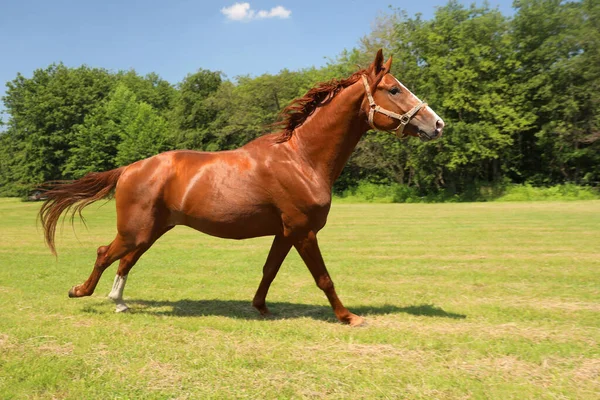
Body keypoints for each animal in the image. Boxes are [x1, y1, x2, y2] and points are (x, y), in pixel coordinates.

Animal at [37, 49, 440, 324]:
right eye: (393, 89)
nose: (437, 124)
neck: (301, 159)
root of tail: (130, 168)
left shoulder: (286, 232)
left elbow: (269, 271)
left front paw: (260, 307)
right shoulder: (304, 230)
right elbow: (324, 278)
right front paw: (349, 317)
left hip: (151, 230)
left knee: (125, 260)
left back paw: (119, 301)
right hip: (137, 230)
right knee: (106, 253)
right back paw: (82, 291)